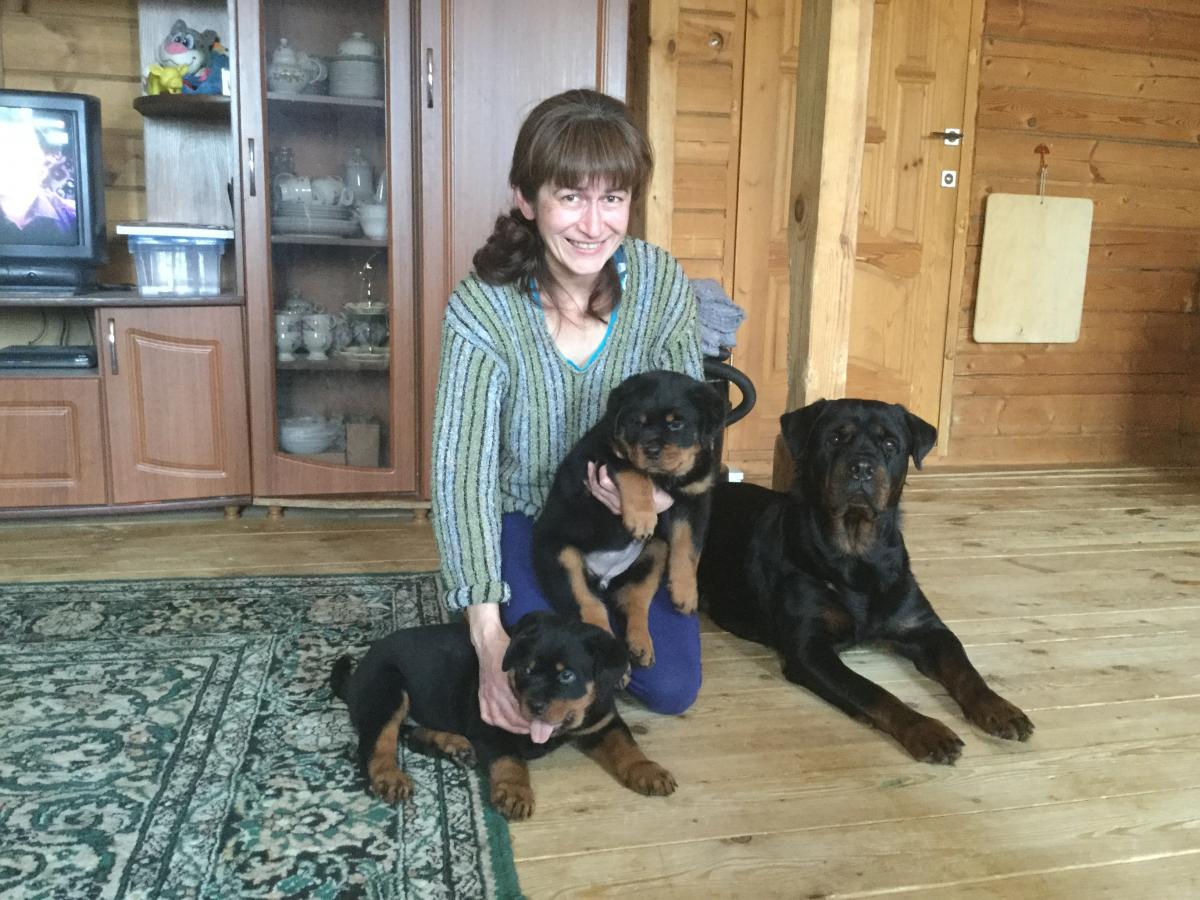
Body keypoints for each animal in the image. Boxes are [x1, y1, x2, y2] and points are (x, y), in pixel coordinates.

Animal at [329, 611, 677, 820]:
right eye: (526, 670)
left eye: (567, 676)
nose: (535, 705)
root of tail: (356, 675)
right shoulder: (489, 727)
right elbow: (510, 760)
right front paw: (514, 792)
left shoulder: (604, 722)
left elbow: (626, 744)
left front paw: (649, 771)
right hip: (387, 689)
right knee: (377, 743)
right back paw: (389, 776)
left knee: (412, 735)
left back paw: (455, 745)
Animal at [533, 370, 724, 667]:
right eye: (637, 422)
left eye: (677, 424)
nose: (652, 450)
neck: (664, 477)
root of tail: (603, 579)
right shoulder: (600, 451)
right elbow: (634, 470)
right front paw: (642, 519)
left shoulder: (695, 498)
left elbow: (689, 548)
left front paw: (685, 592)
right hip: (559, 556)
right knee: (590, 606)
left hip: (655, 551)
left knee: (633, 601)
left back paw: (640, 644)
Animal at [698, 399, 1033, 763]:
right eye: (834, 439)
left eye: (889, 444)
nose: (861, 467)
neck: (857, 557)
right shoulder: (810, 649)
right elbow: (872, 692)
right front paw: (926, 729)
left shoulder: (925, 628)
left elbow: (964, 668)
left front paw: (998, 708)